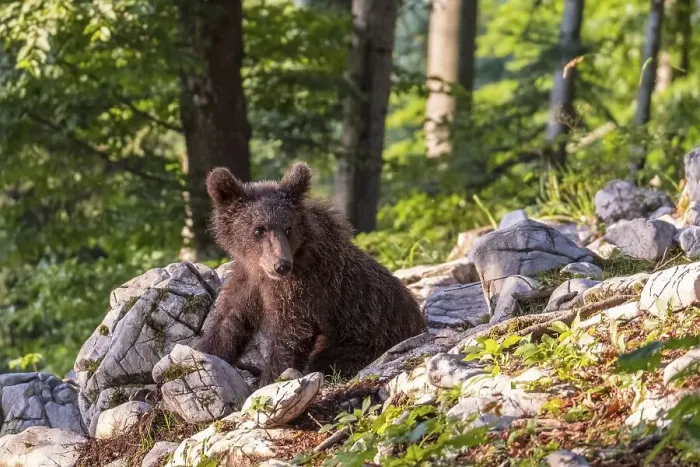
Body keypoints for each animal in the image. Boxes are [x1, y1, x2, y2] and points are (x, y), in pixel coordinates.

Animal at [196, 161, 426, 385]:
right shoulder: (248, 282)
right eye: (259, 229)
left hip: (367, 336)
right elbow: (229, 323)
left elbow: (291, 334)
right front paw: (205, 352)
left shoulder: (305, 287)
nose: (281, 265)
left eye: (288, 228)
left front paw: (269, 380)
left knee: (328, 358)